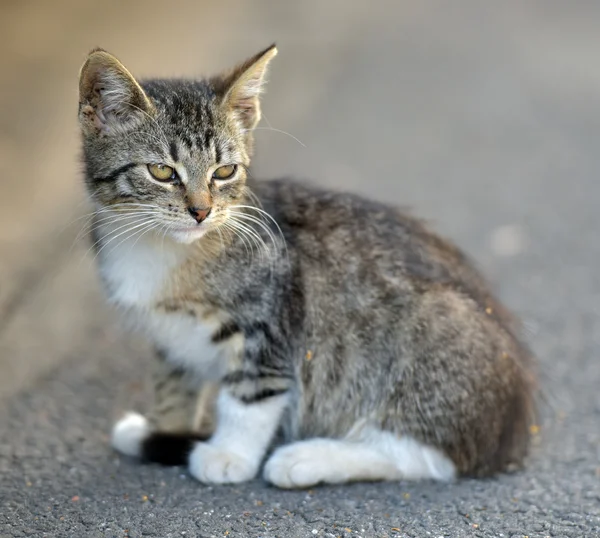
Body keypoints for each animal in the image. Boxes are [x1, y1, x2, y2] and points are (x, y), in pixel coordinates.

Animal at [77, 45, 536, 486]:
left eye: (224, 171)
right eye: (161, 171)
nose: (201, 212)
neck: (160, 247)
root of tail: (512, 429)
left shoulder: (270, 318)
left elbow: (251, 395)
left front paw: (229, 456)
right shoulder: (169, 334)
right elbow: (174, 380)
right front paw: (167, 430)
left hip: (432, 336)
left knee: (428, 457)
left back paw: (308, 459)